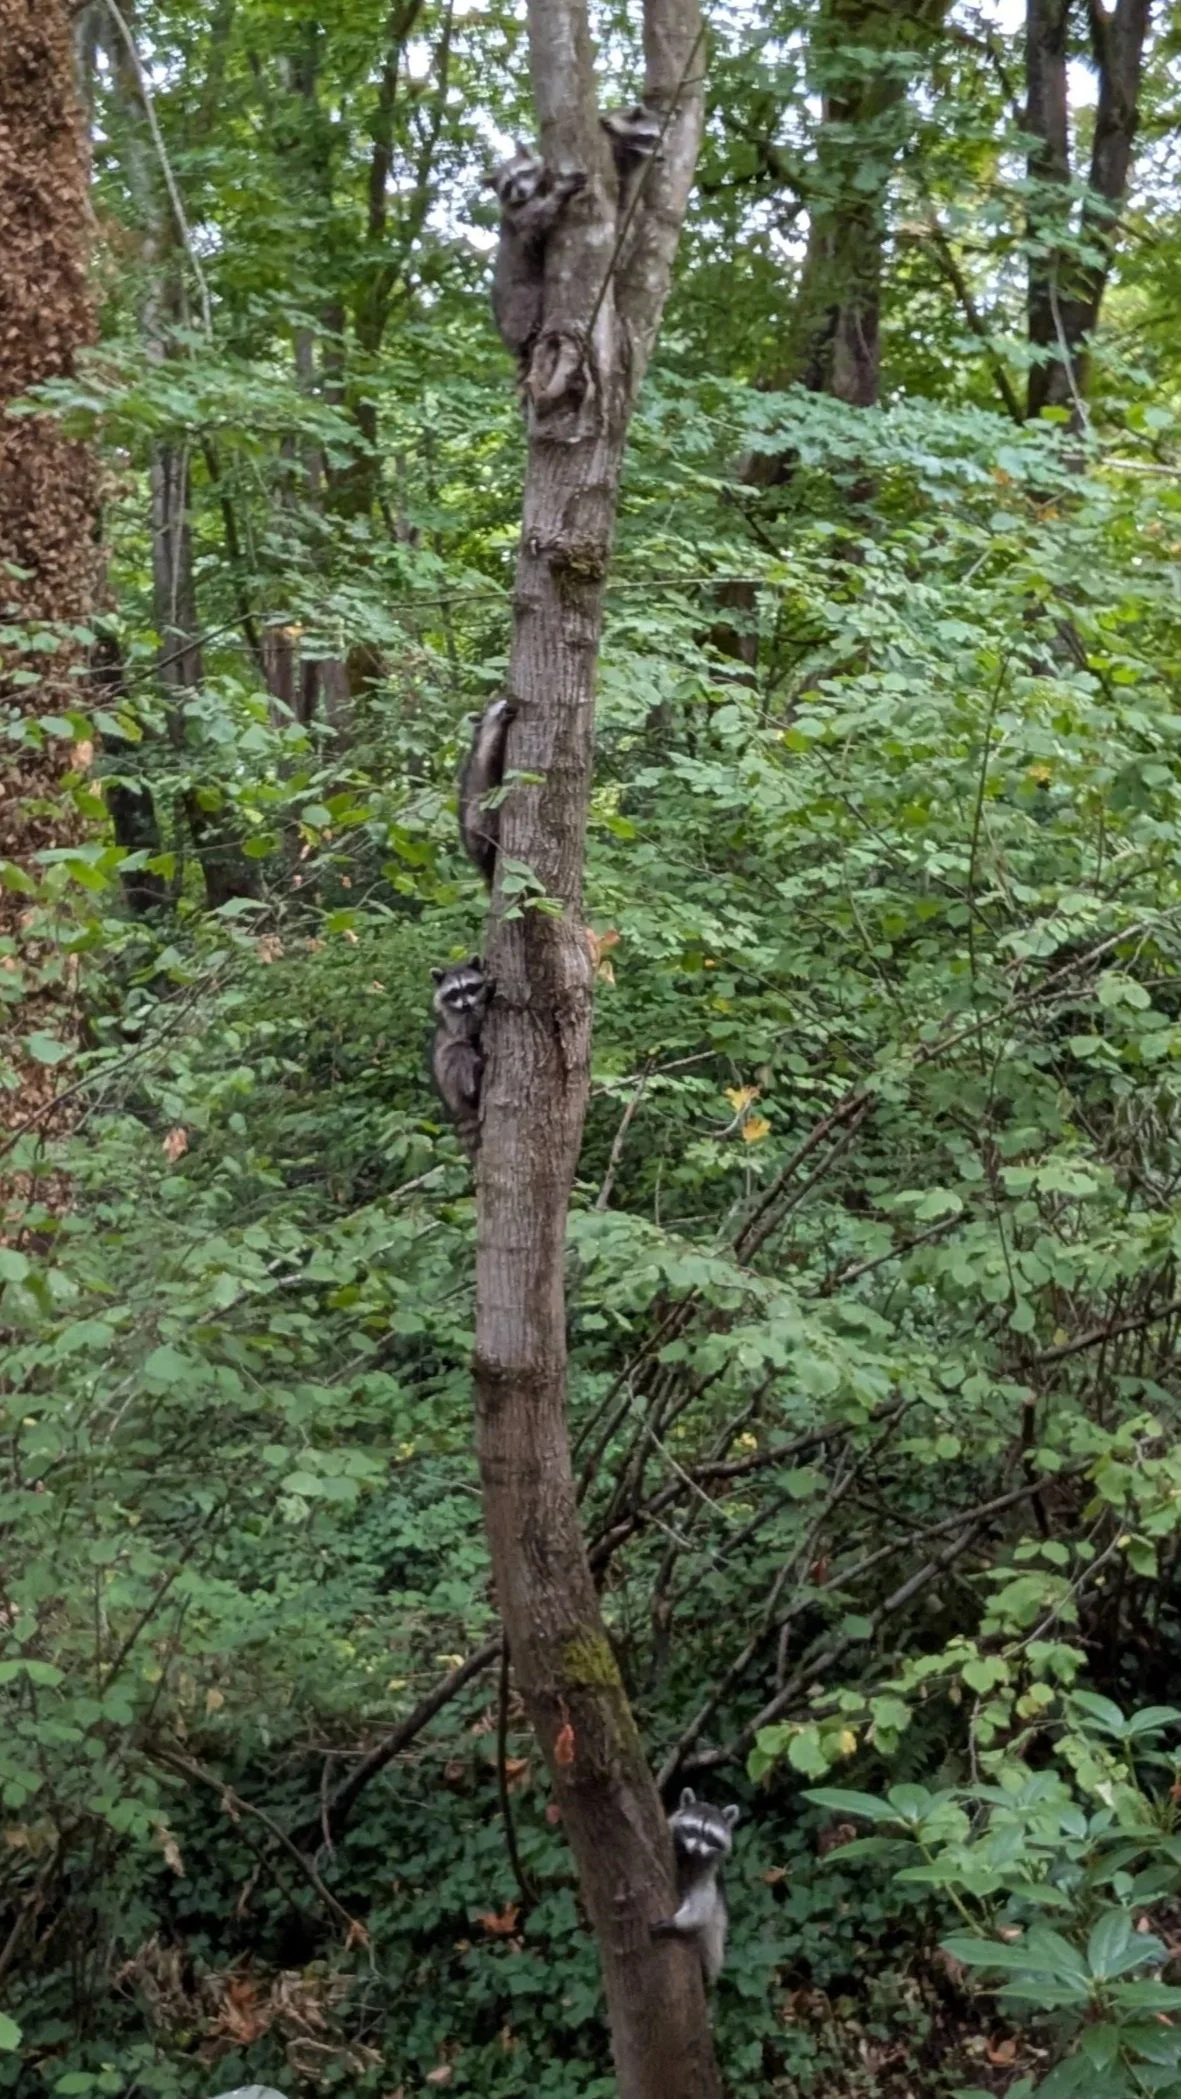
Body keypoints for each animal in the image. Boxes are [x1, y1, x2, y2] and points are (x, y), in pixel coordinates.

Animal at [430, 957, 491, 1157]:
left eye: (469, 987)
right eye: (454, 992)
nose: (465, 1005)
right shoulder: (454, 1020)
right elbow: (467, 1031)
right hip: (447, 1080)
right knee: (457, 1051)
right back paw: (472, 1090)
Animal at [485, 144, 587, 362]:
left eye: (522, 173)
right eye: (508, 186)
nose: (522, 191)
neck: (531, 195)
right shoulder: (518, 216)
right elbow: (536, 218)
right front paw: (560, 192)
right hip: (515, 296)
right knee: (524, 309)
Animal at [652, 1789, 740, 1985]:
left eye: (709, 1836)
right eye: (693, 1829)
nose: (697, 1849)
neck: (690, 1855)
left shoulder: (706, 1868)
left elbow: (702, 1900)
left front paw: (677, 1922)